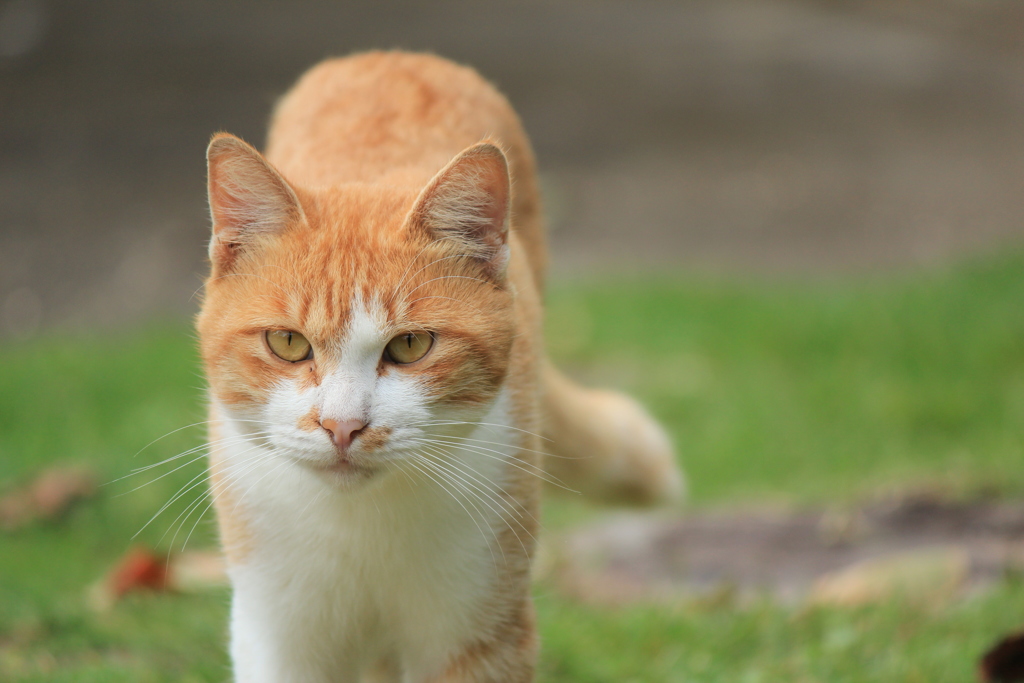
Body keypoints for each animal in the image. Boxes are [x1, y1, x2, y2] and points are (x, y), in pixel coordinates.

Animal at [195, 53, 684, 683]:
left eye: (409, 346)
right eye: (287, 343)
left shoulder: (479, 629)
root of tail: (394, 55)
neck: (362, 524)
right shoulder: (279, 636)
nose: (342, 427)